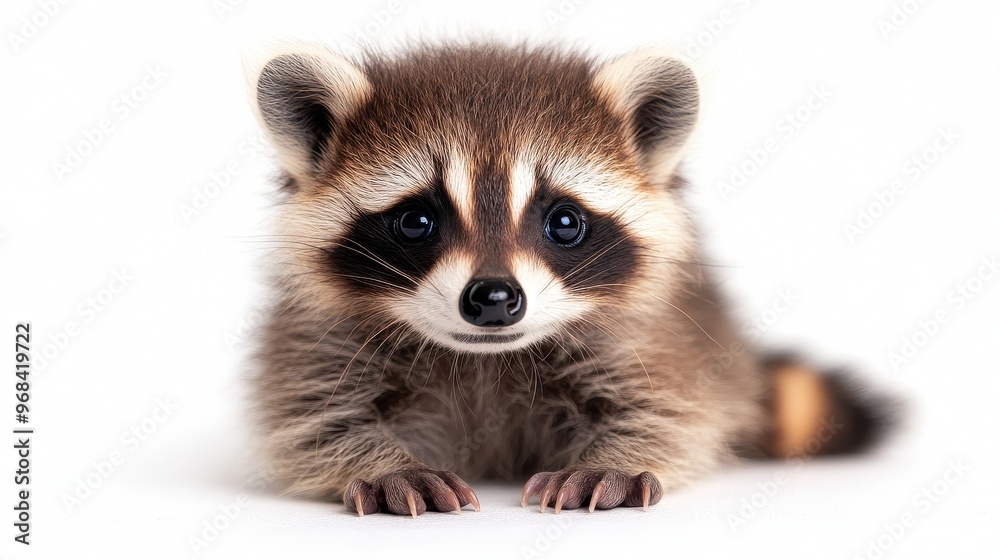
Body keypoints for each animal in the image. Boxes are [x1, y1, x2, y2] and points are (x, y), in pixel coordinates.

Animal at [249, 42, 885, 517]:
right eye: (415, 221)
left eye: (564, 222)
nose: (494, 299)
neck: (486, 357)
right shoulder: (321, 336)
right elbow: (312, 417)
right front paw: (386, 464)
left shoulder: (655, 334)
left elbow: (674, 410)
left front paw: (613, 460)